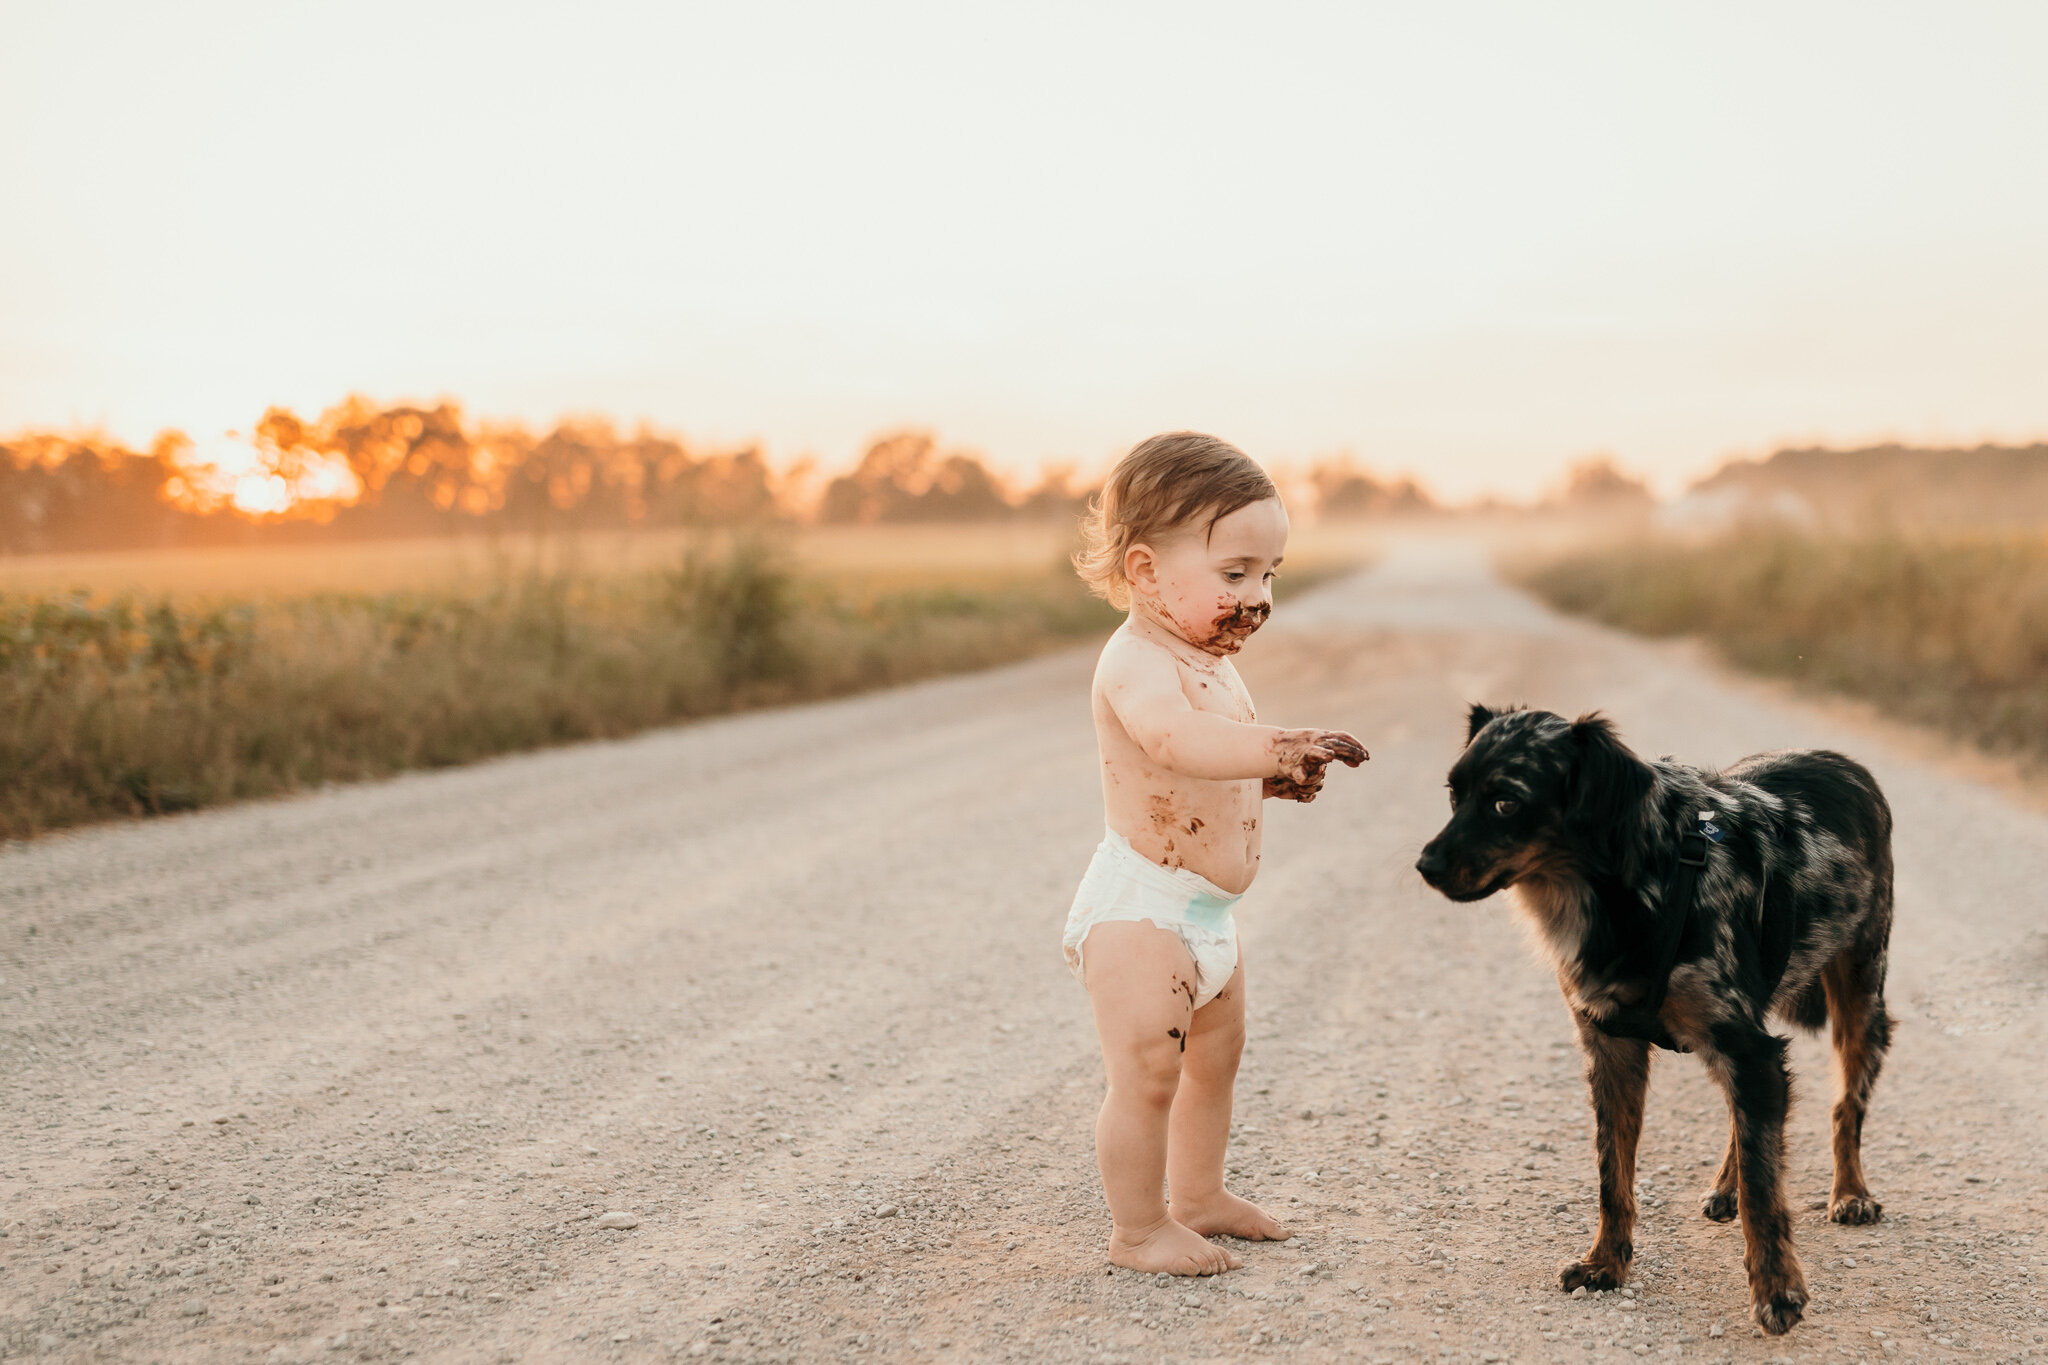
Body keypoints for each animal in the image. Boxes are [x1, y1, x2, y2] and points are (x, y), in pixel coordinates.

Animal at [1417, 712, 1892, 1342]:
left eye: (1505, 802)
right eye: (1455, 794)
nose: (1425, 866)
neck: (1634, 888)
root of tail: (1841, 761)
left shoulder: (1750, 1049)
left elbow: (1766, 1188)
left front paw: (1777, 1291)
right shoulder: (1613, 1049)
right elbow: (1613, 1176)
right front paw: (1605, 1263)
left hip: (1861, 996)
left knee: (1844, 1107)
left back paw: (1851, 1192)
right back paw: (1726, 1187)